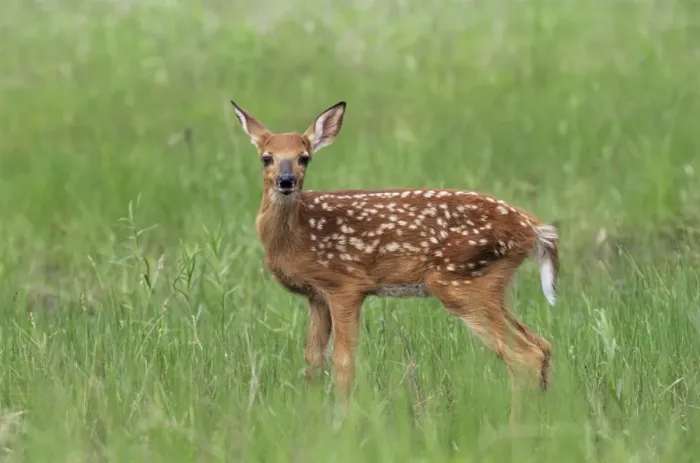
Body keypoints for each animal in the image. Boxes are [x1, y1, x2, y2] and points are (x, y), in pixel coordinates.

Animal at [230, 99, 560, 423]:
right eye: (267, 158)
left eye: (304, 158)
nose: (286, 181)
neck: (298, 234)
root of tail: (533, 228)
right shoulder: (317, 295)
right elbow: (313, 361)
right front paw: (310, 417)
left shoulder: (346, 284)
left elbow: (343, 362)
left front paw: (341, 422)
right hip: (490, 283)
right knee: (541, 345)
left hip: (461, 281)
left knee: (524, 355)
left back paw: (516, 425)